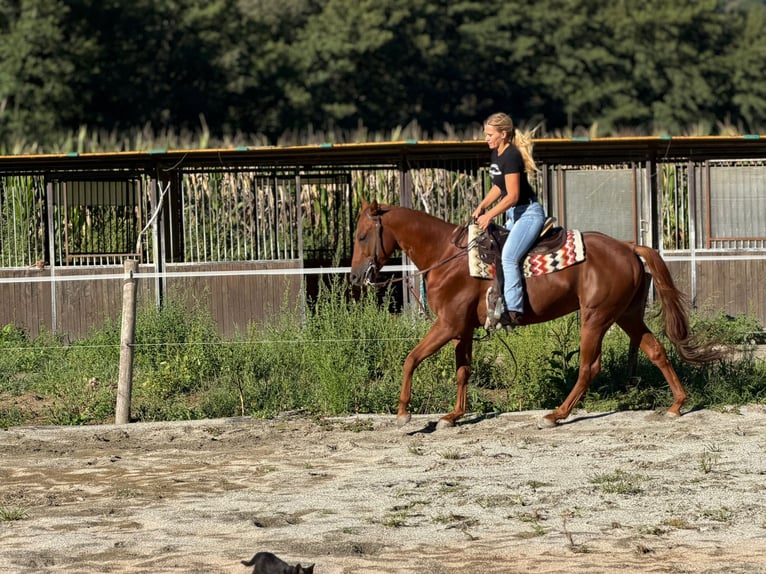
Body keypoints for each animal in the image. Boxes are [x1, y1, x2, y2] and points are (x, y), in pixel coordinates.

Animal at [349, 199, 725, 429]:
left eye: (363, 235)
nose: (355, 277)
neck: (447, 256)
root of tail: (629, 247)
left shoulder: (447, 325)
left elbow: (411, 358)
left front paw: (403, 413)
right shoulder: (463, 329)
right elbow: (462, 371)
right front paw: (453, 415)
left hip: (596, 317)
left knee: (589, 367)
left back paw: (556, 414)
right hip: (626, 315)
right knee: (656, 350)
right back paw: (677, 404)